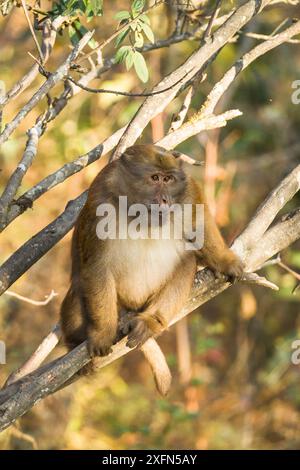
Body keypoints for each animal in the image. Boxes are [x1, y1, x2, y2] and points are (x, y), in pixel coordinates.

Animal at [61, 146, 244, 386]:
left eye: (168, 179)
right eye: (155, 178)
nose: (165, 200)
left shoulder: (189, 193)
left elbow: (199, 227)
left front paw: (224, 261)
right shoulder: (99, 202)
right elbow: (97, 267)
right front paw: (102, 332)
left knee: (186, 260)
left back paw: (151, 321)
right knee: (77, 291)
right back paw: (76, 344)